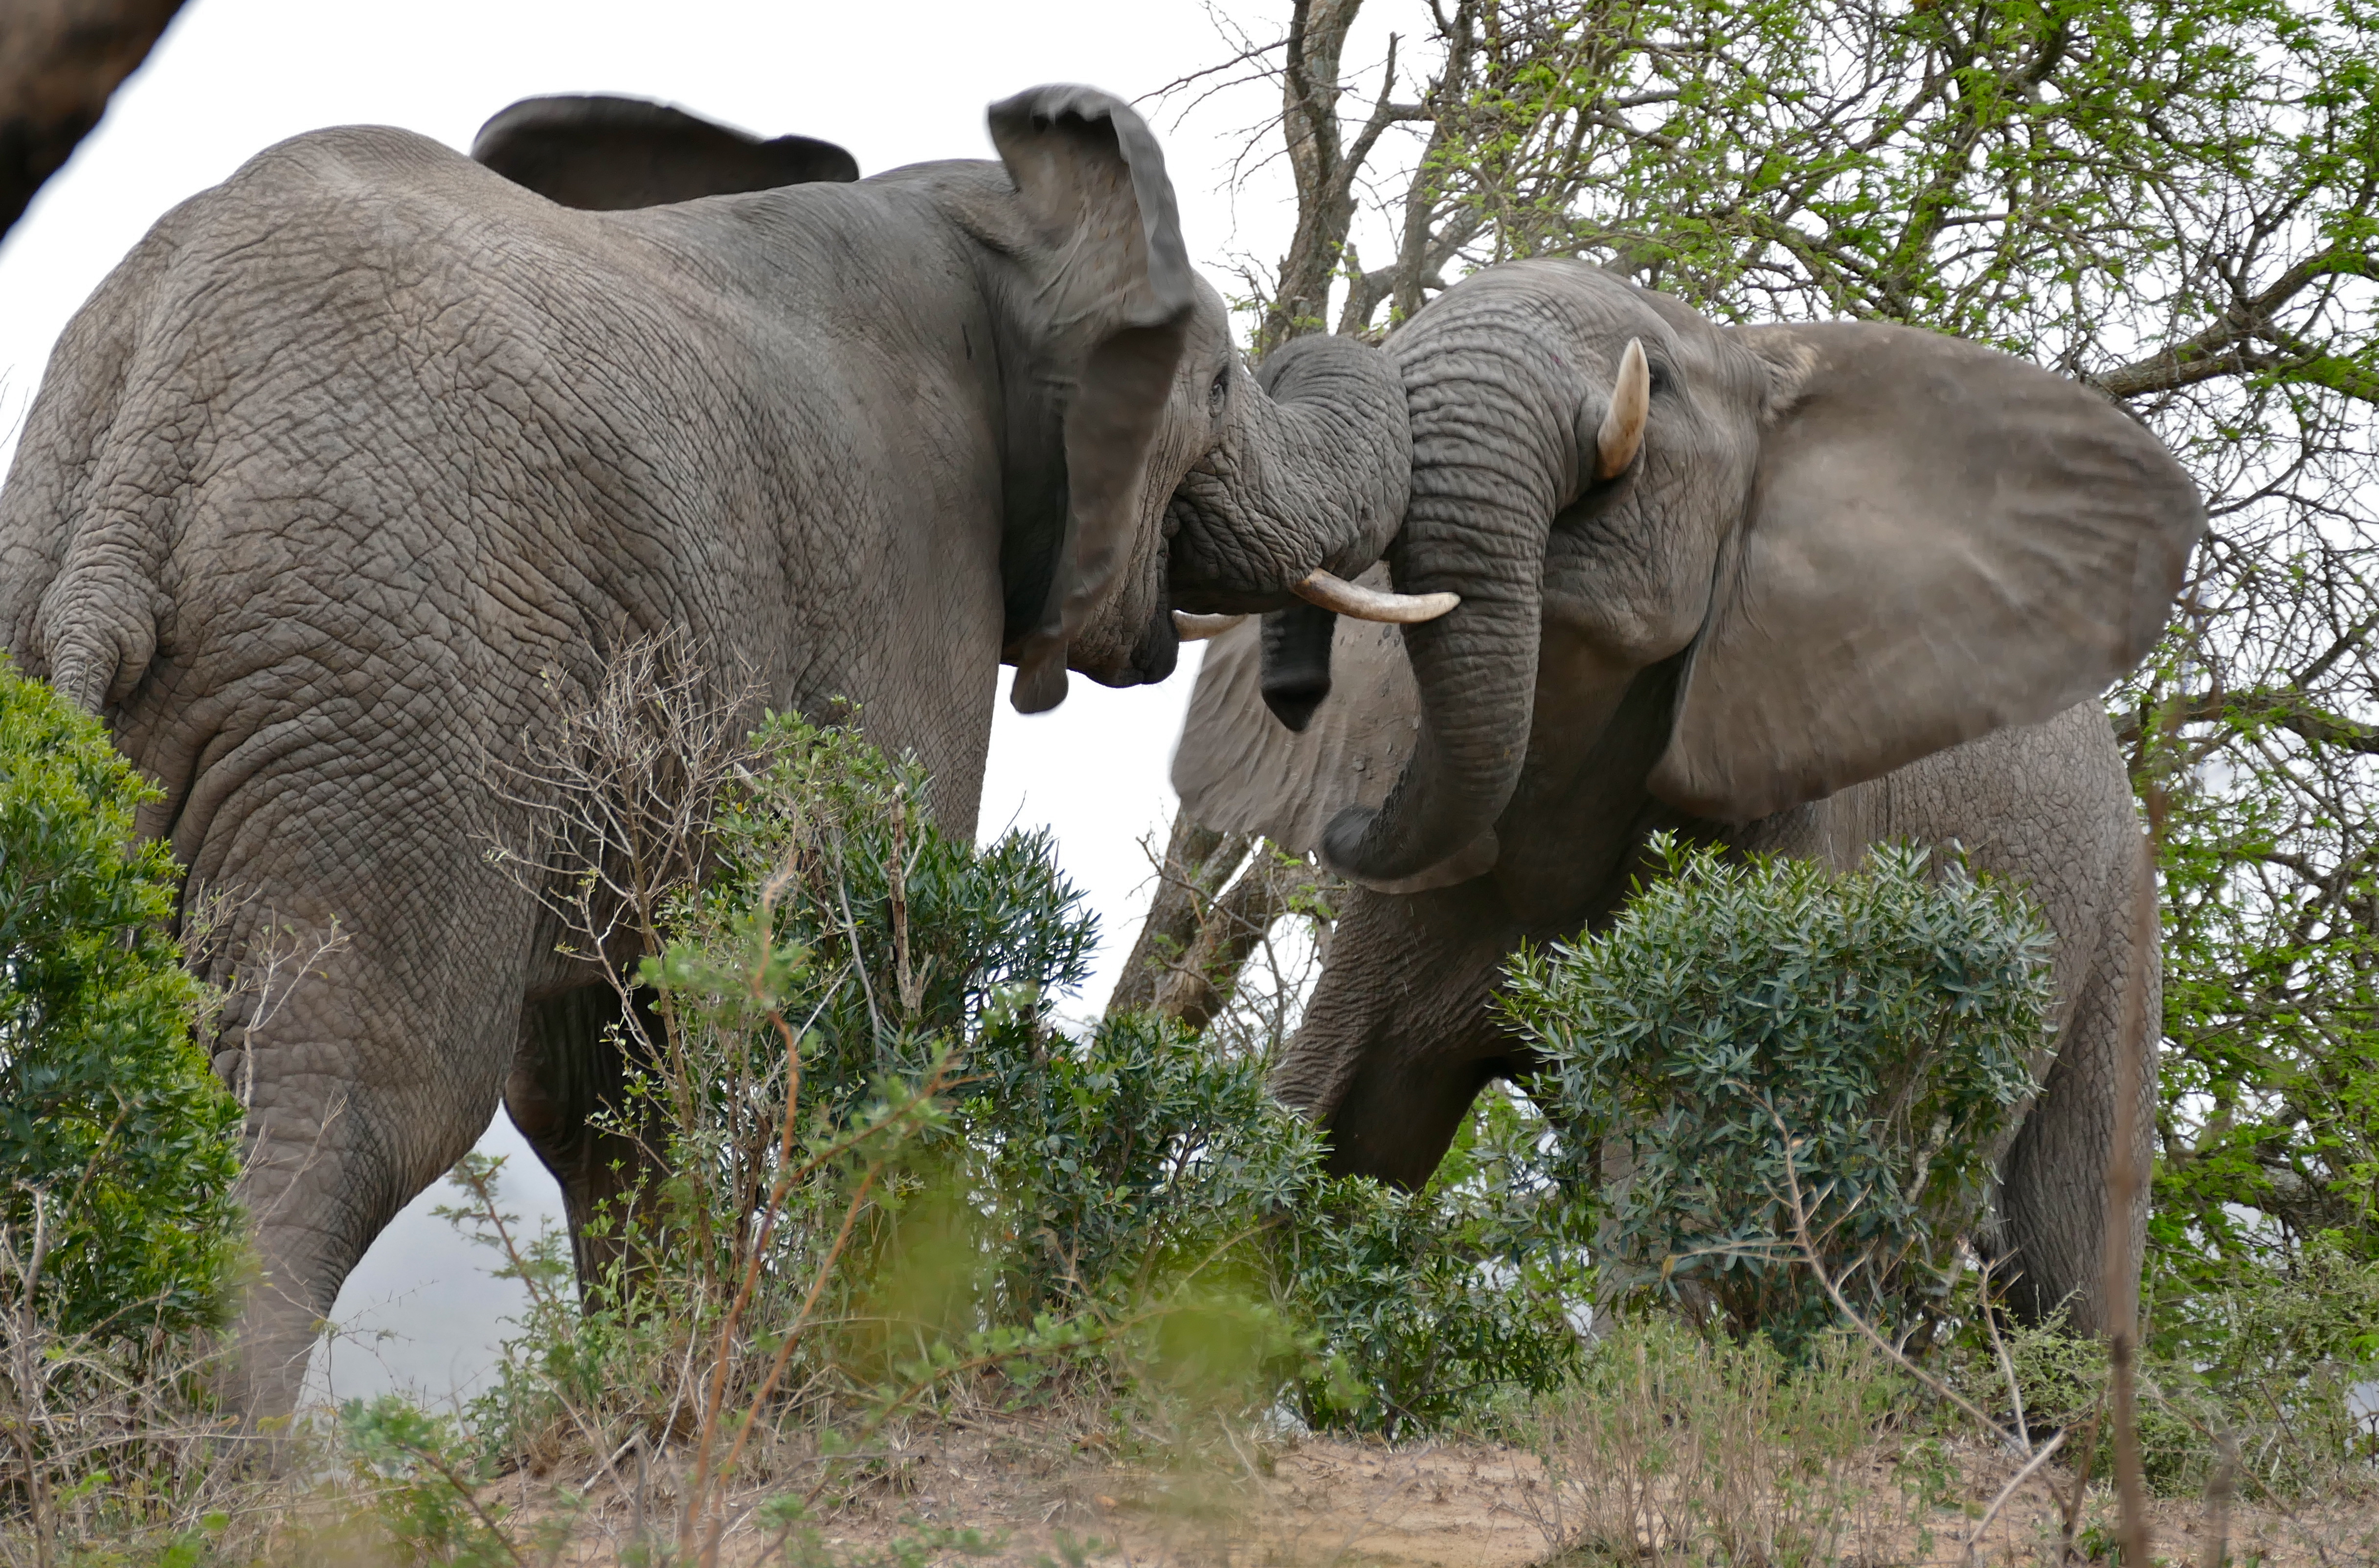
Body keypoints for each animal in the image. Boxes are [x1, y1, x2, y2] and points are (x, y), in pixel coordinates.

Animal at [0, 83, 1427, 1409]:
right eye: (1223, 381)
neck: (988, 219)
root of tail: (139, 466)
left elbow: (598, 1076)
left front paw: (640, 1383)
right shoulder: (913, 553)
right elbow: (888, 941)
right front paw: (873, 1373)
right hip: (377, 682)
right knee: (353, 1096)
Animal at [1161, 258, 2198, 1342]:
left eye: (1650, 380)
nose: (1298, 702)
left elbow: (1698, 1153)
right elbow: (1340, 1120)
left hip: (2115, 928)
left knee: (2058, 1252)